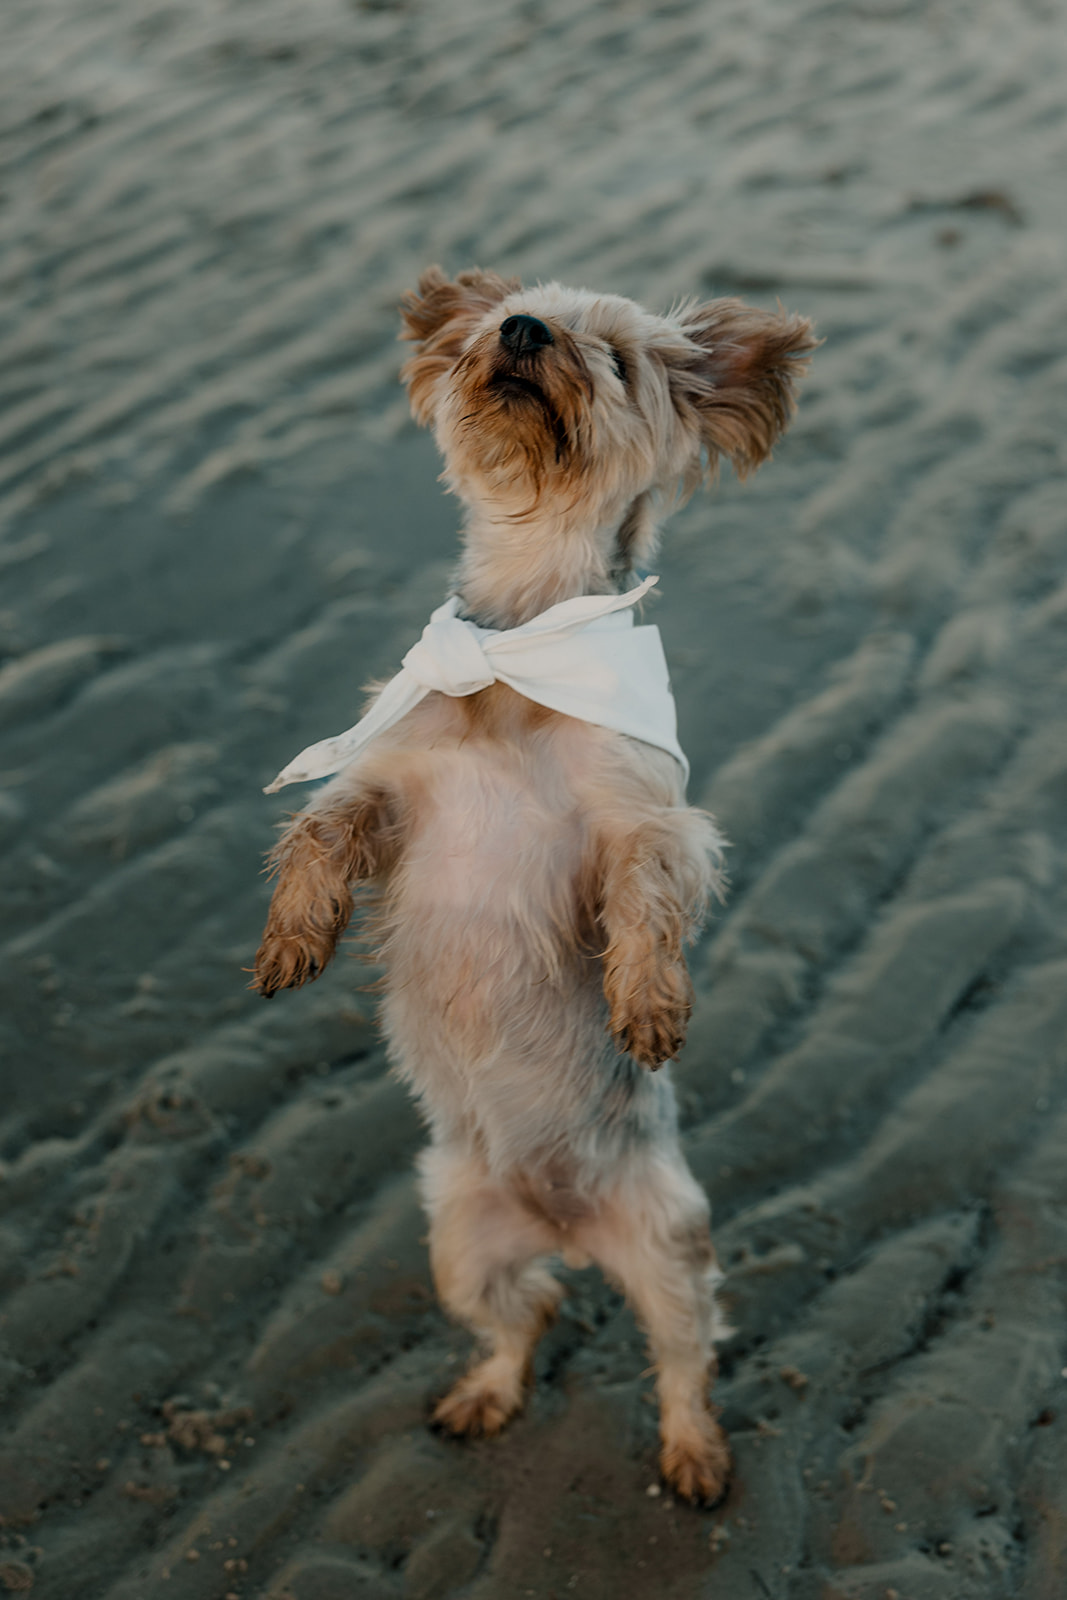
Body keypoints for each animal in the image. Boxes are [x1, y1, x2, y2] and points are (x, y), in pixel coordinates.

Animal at [252, 268, 819, 1504]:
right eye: (500, 316)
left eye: (614, 357)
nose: (519, 332)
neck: (519, 642)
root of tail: (561, 1222)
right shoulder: (392, 789)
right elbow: (320, 827)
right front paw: (293, 938)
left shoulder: (638, 818)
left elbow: (646, 896)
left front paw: (646, 1004)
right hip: (458, 1237)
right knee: (523, 1315)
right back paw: (484, 1394)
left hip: (667, 1239)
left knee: (681, 1354)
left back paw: (693, 1455)